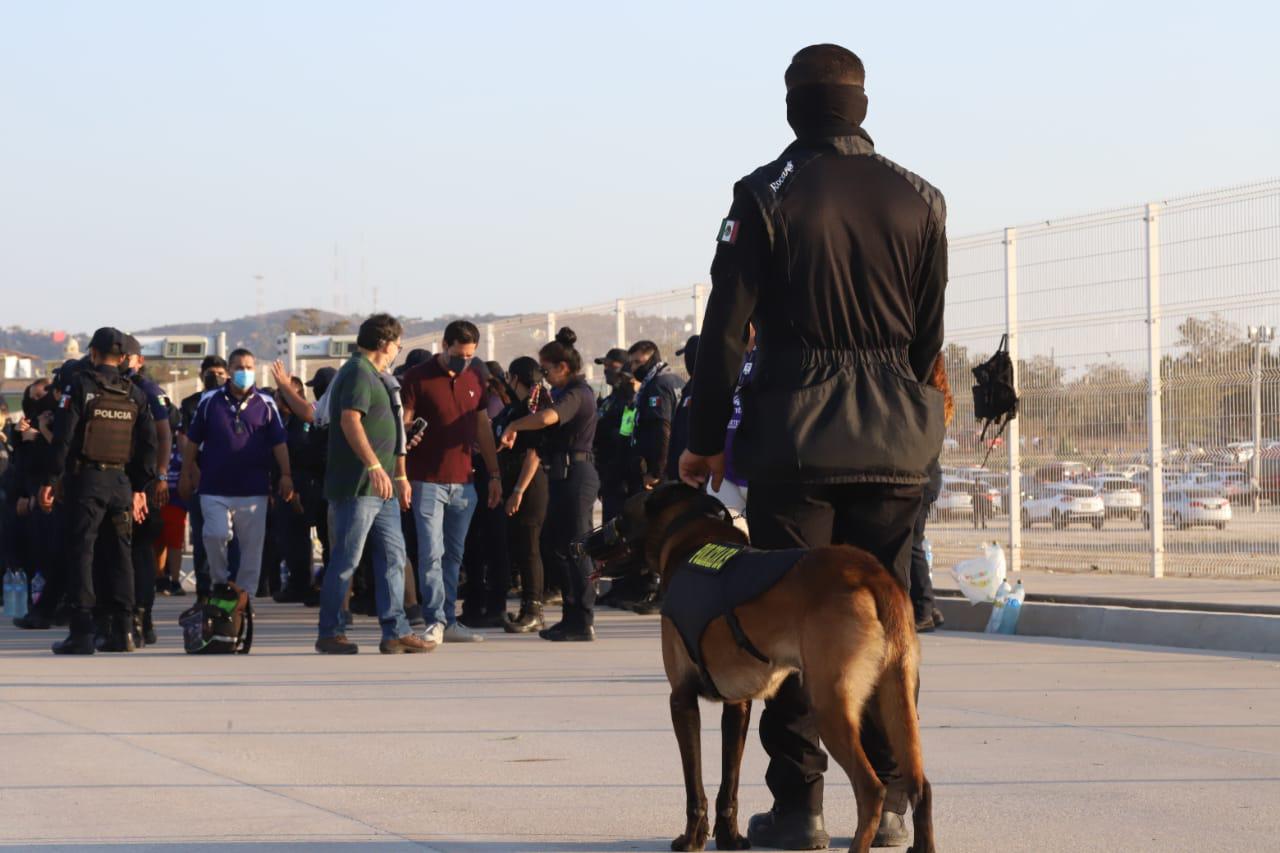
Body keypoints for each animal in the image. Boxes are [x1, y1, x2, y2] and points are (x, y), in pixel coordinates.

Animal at [581, 481, 931, 850]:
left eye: (620, 517)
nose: (580, 544)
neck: (689, 536)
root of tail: (871, 572)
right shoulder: (738, 705)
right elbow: (729, 784)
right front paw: (730, 838)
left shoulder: (681, 699)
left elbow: (695, 786)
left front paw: (692, 839)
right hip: (894, 698)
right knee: (920, 787)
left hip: (831, 707)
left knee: (871, 787)